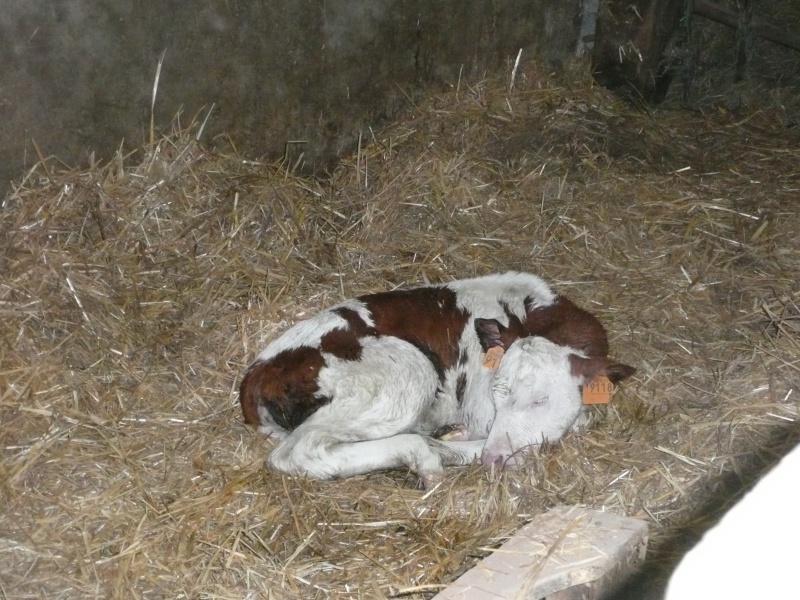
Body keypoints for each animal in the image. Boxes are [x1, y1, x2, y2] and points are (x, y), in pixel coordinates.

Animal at [241, 274, 636, 488]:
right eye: (498, 393)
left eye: (541, 399)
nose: (494, 458)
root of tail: (259, 370)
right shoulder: (479, 407)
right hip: (404, 373)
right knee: (300, 453)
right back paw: (425, 454)